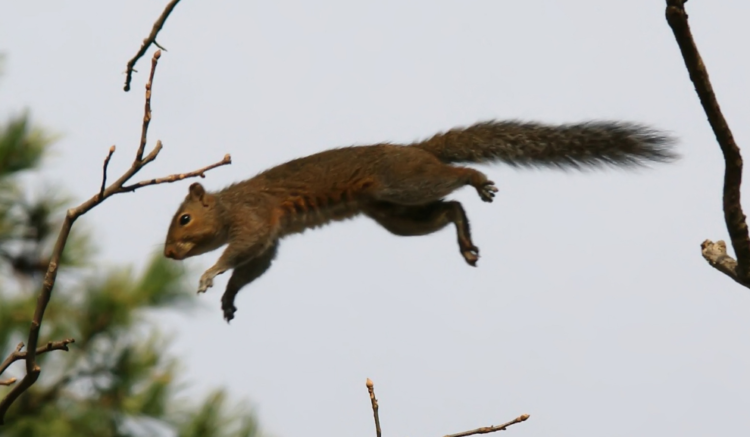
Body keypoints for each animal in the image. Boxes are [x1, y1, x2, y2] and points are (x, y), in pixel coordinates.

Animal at [166, 119, 680, 320]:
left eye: (184, 219)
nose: (169, 254)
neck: (228, 205)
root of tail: (421, 151)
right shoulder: (269, 238)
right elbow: (253, 267)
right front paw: (229, 296)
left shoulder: (254, 219)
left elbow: (238, 252)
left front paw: (209, 275)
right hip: (396, 214)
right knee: (450, 208)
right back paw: (465, 241)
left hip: (403, 185)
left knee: (454, 180)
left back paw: (477, 179)